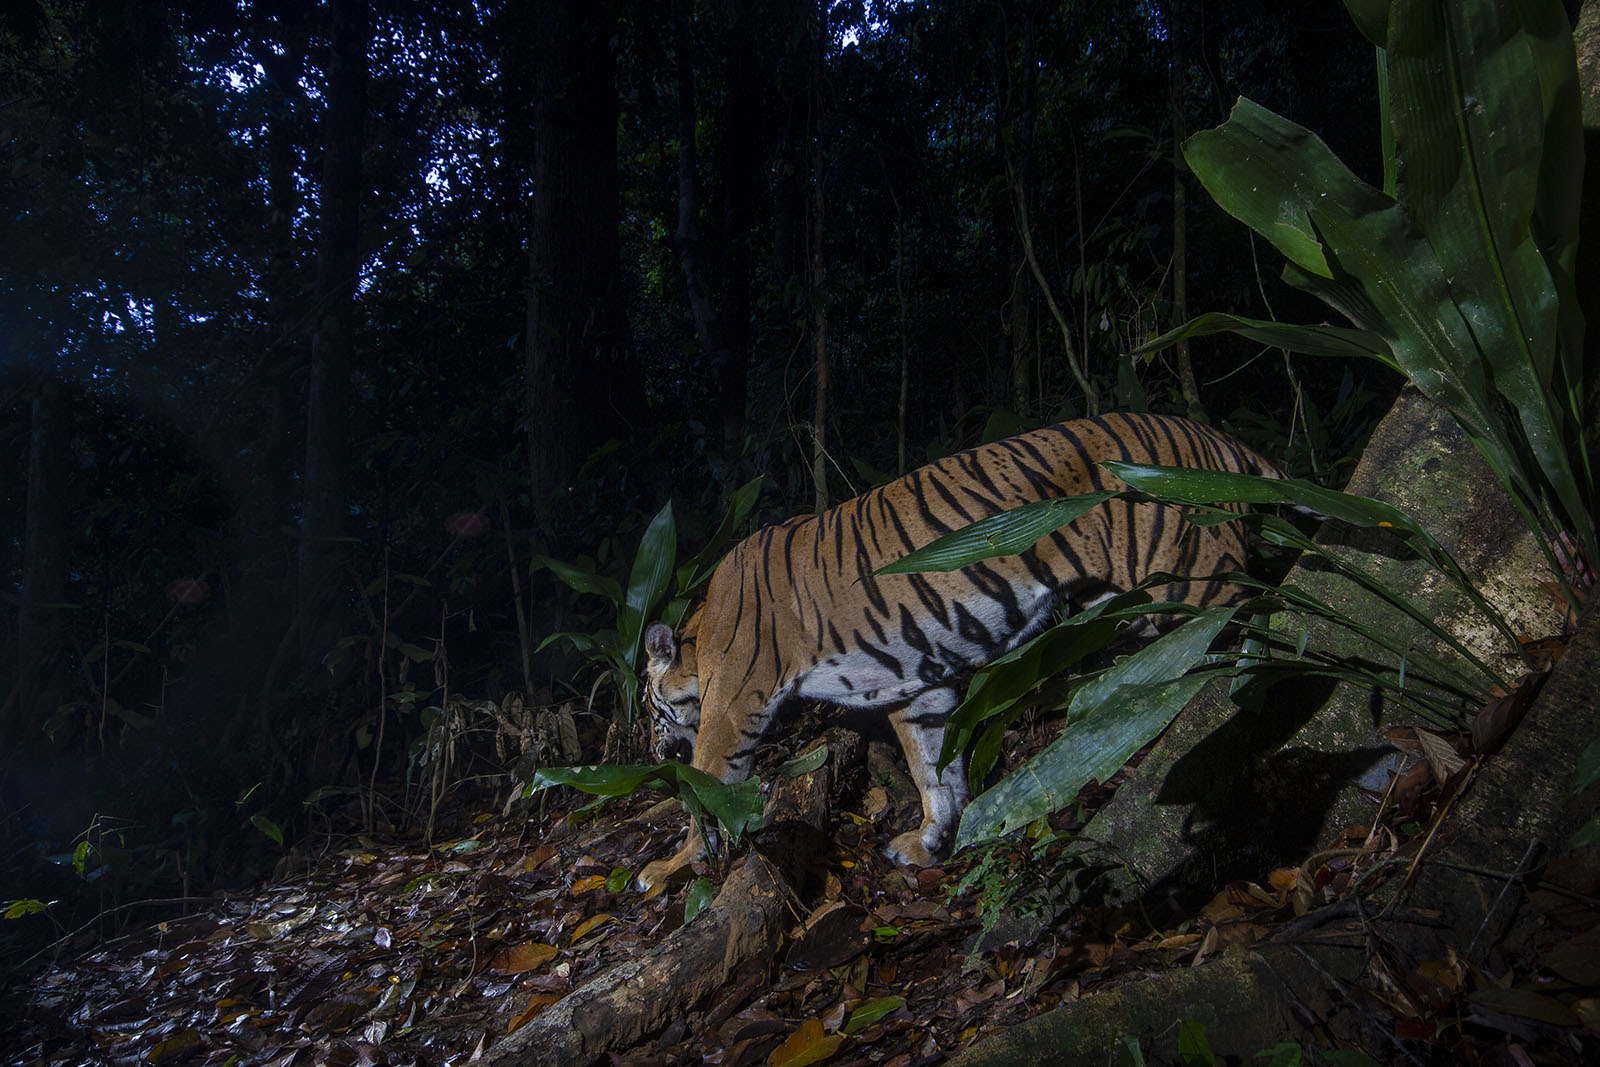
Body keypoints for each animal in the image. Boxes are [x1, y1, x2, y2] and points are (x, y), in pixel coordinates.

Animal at [633, 412, 1273, 889]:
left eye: (646, 707)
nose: (651, 750)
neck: (699, 639)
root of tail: (1214, 434)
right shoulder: (916, 686)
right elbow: (933, 770)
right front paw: (930, 842)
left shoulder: (733, 706)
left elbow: (706, 791)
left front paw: (669, 867)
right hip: (1129, 602)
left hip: (1192, 583)